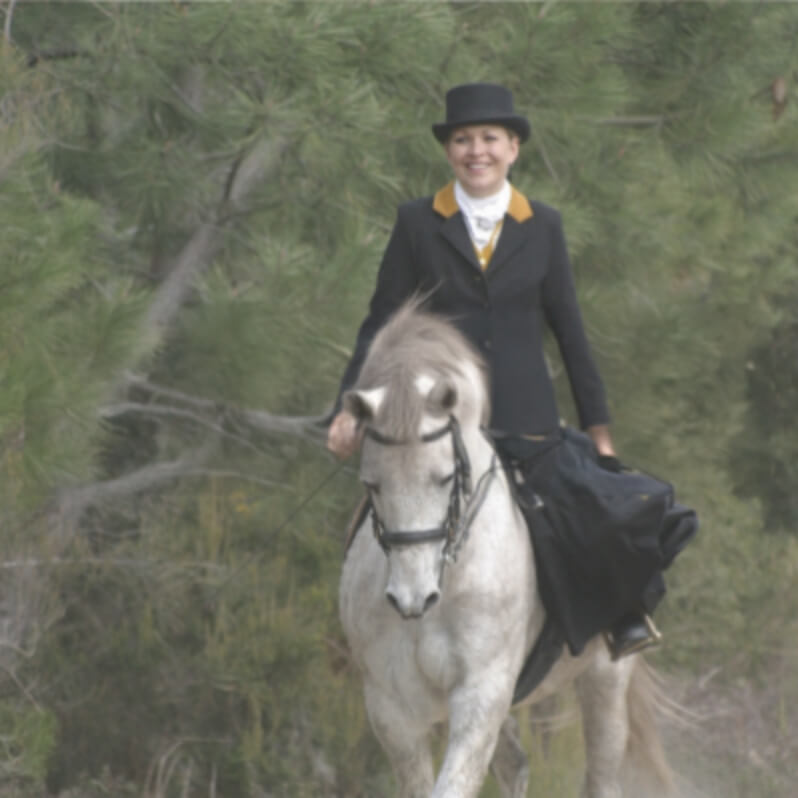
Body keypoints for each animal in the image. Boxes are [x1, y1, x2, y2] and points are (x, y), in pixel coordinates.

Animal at [338, 301, 674, 798]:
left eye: (444, 477)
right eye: (372, 484)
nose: (411, 598)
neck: (448, 577)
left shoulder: (482, 693)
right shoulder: (392, 707)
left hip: (605, 678)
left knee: (602, 772)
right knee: (515, 764)